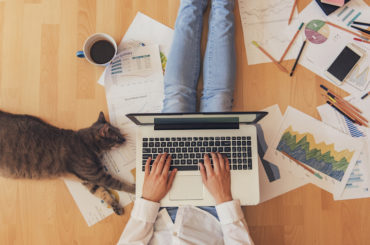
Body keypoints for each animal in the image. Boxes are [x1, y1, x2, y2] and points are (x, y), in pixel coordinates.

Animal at [0, 110, 134, 215]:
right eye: (117, 137)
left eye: (120, 132)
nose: (124, 139)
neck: (87, 144)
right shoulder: (98, 176)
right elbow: (120, 184)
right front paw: (135, 188)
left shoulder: (89, 180)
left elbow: (102, 193)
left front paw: (115, 206)